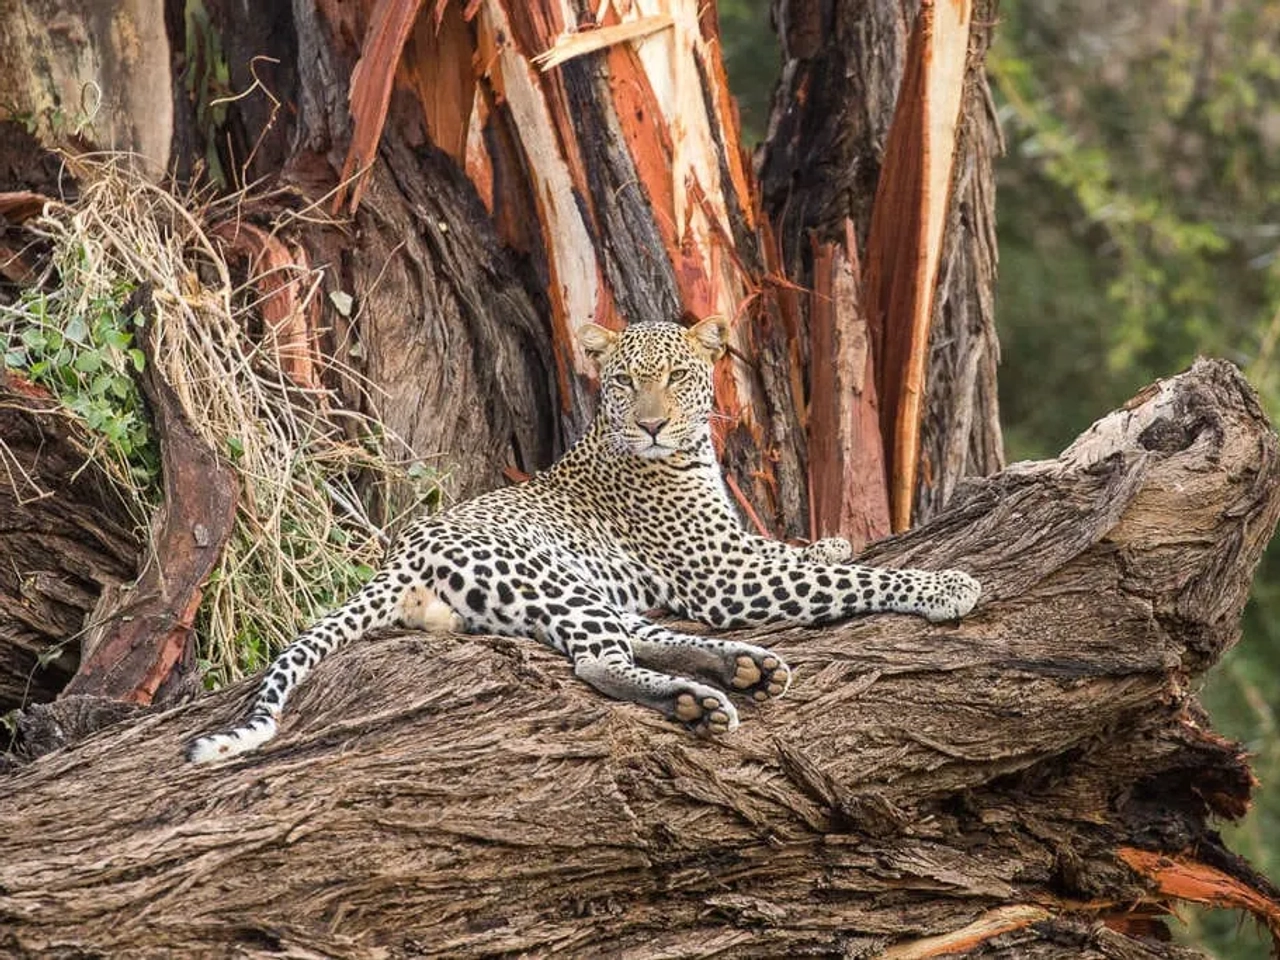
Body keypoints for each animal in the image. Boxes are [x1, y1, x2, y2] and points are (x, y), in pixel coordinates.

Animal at [187, 317, 980, 763]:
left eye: (679, 376)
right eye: (625, 380)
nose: (654, 423)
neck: (688, 454)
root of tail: (397, 557)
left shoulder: (733, 552)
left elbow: (793, 552)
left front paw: (830, 542)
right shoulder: (724, 579)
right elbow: (852, 582)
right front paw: (944, 586)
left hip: (583, 591)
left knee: (639, 639)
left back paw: (743, 667)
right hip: (552, 580)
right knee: (599, 662)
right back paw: (699, 700)